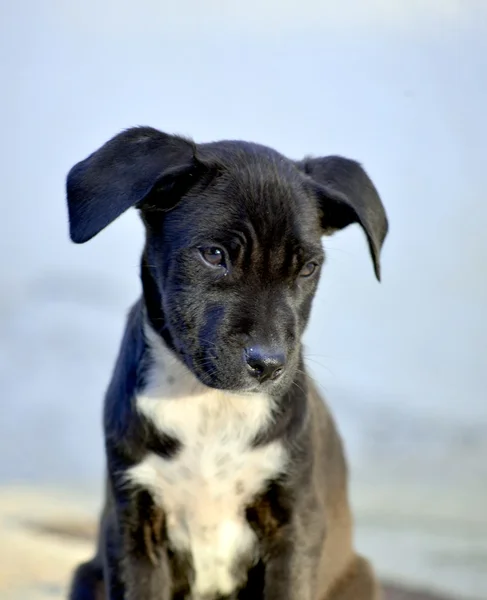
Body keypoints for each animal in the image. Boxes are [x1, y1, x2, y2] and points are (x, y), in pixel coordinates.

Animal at [66, 127, 390, 600]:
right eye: (215, 255)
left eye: (308, 268)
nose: (269, 364)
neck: (210, 405)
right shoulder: (132, 527)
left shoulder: (295, 525)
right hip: (87, 576)